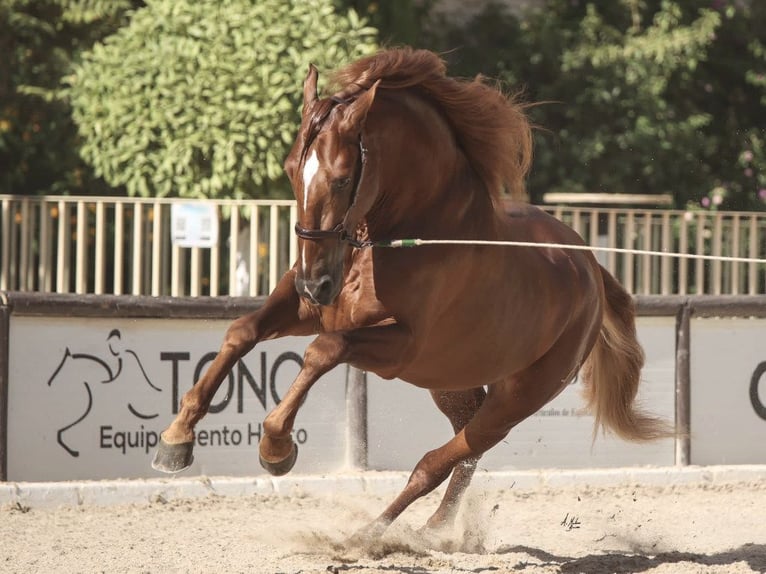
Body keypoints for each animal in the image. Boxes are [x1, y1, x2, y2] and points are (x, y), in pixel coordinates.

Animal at [156, 47, 672, 536]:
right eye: (289, 169)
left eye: (342, 178)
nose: (314, 282)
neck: (401, 237)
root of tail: (590, 268)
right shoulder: (309, 309)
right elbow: (242, 332)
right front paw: (176, 439)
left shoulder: (398, 347)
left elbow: (323, 351)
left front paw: (276, 445)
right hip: (452, 384)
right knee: (465, 451)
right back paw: (437, 530)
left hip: (516, 399)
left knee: (440, 461)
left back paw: (375, 534)